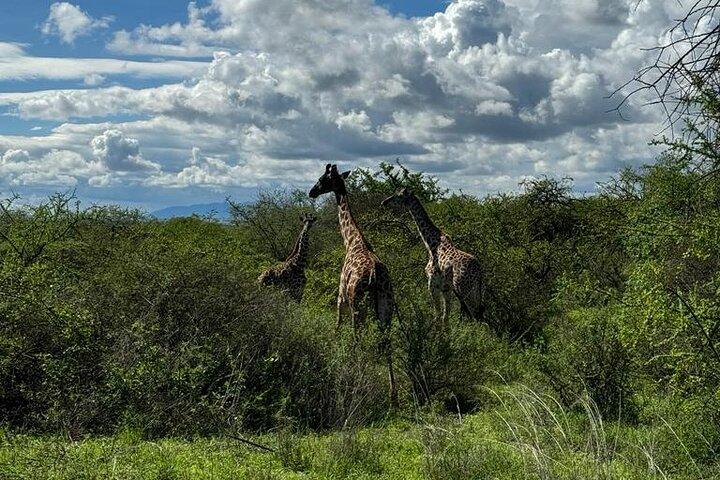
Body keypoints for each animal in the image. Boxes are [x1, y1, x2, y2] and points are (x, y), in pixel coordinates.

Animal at [309, 164, 398, 408]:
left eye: (322, 179)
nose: (311, 192)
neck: (352, 241)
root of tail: (375, 276)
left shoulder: (341, 295)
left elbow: (337, 325)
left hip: (358, 305)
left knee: (357, 337)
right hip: (385, 308)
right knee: (386, 342)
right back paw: (393, 395)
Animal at [382, 187, 484, 327]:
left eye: (398, 196)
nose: (384, 202)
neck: (431, 244)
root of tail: (478, 271)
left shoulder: (432, 284)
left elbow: (437, 316)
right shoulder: (446, 288)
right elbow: (445, 317)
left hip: (464, 289)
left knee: (476, 317)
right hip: (474, 290)